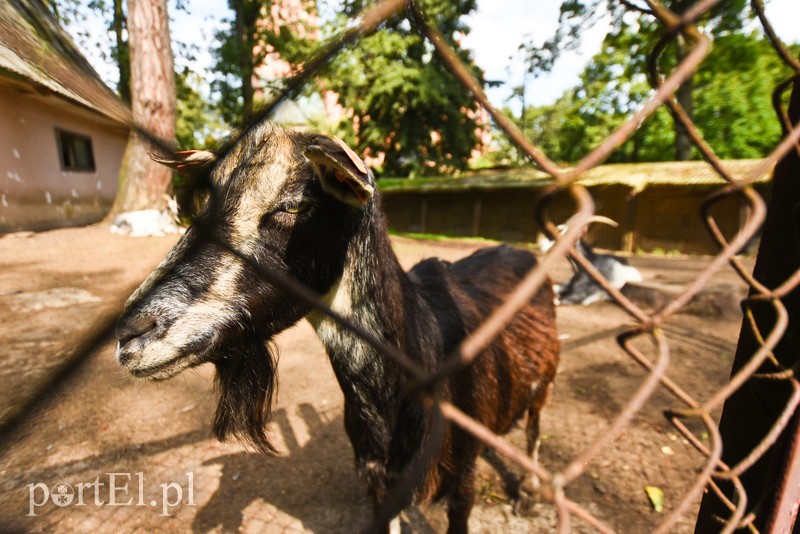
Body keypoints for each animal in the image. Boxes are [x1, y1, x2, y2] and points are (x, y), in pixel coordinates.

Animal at [115, 122, 560, 534]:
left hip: (546, 382)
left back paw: (529, 495)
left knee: (536, 430)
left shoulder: (462, 478)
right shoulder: (378, 480)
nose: (130, 333)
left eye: (296, 204)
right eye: (203, 206)